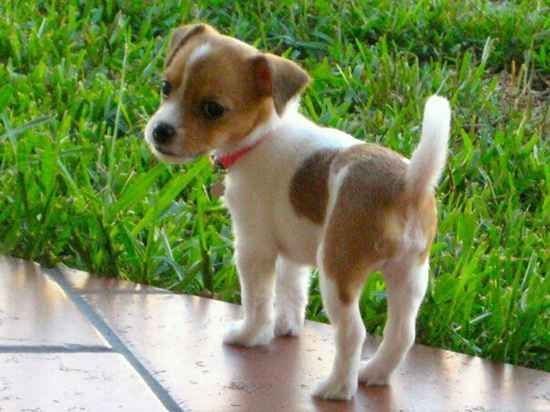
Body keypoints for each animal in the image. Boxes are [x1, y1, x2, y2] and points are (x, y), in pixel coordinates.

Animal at [144, 22, 450, 400]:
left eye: (213, 109)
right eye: (166, 87)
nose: (160, 131)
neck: (264, 134)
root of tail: (408, 183)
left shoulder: (253, 247)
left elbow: (257, 299)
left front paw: (250, 334)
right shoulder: (291, 248)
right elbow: (291, 290)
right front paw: (285, 326)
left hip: (338, 273)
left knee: (353, 333)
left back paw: (336, 388)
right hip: (410, 274)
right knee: (402, 333)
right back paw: (372, 373)